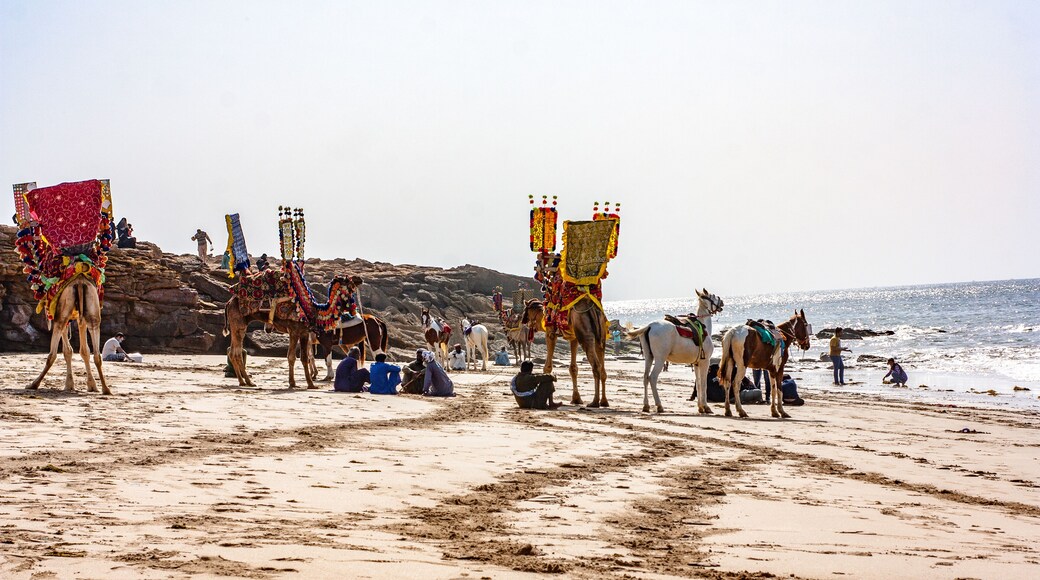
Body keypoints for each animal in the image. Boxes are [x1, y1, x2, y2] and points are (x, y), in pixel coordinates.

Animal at [224, 275, 362, 389]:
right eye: (350, 285)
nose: (359, 280)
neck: (316, 311)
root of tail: (229, 302)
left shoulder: (302, 332)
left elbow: (302, 358)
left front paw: (305, 384)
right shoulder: (295, 331)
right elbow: (293, 357)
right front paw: (299, 383)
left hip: (238, 326)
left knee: (233, 352)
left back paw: (243, 382)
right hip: (238, 325)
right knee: (236, 352)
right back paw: (248, 382)